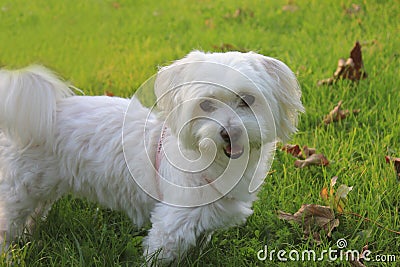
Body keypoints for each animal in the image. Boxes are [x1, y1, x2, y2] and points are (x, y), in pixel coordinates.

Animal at [0, 50, 304, 264]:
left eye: (247, 100)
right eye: (206, 104)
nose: (230, 132)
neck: (215, 162)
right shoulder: (172, 224)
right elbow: (159, 254)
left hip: (42, 185)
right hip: (18, 190)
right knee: (7, 225)